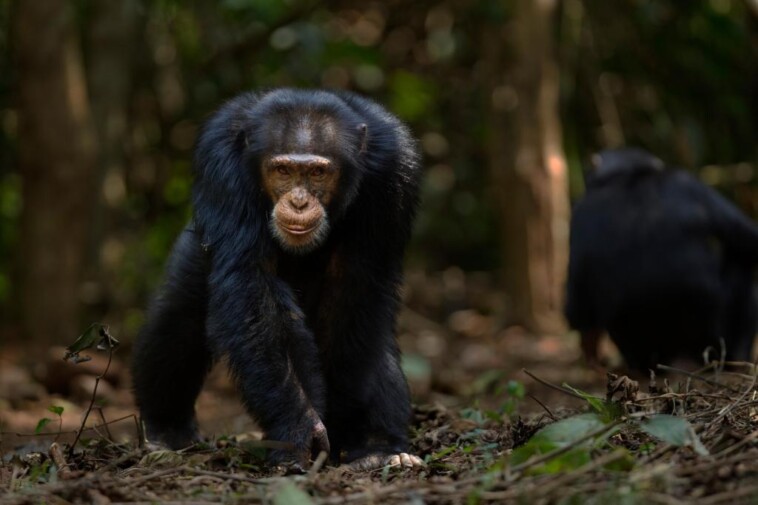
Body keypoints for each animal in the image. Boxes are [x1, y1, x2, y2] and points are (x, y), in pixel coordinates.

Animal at [133, 88, 424, 470]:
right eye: (283, 170)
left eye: (317, 173)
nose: (299, 202)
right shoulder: (221, 162)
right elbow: (254, 285)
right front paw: (301, 430)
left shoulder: (395, 174)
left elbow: (354, 288)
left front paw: (344, 425)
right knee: (178, 318)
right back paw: (166, 431)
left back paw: (380, 448)